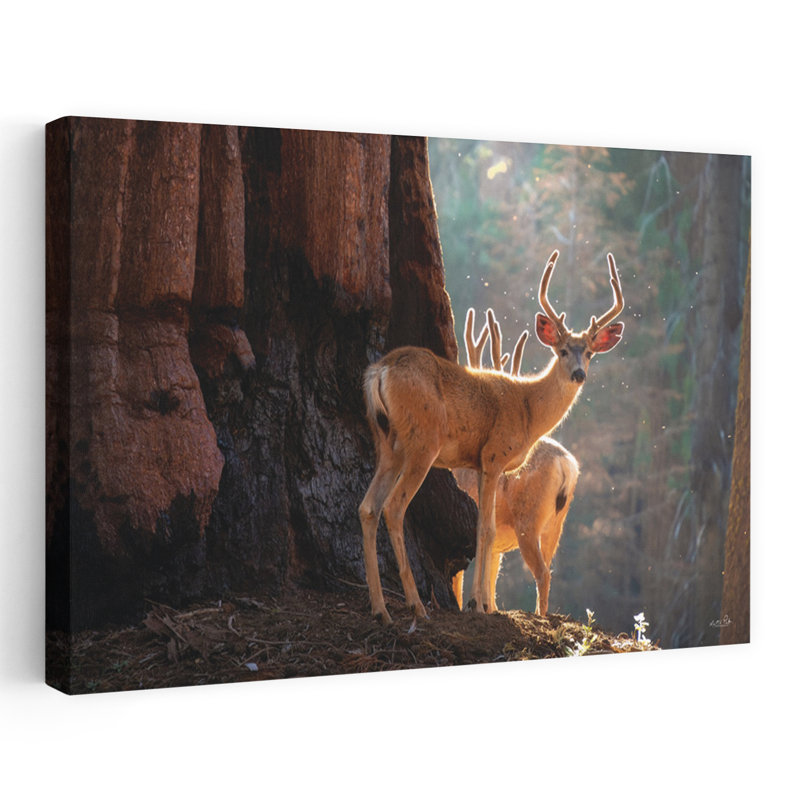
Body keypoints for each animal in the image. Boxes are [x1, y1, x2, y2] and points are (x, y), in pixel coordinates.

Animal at [451, 307, 580, 616]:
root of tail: (566, 465)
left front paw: (471, 605)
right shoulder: (497, 544)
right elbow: (491, 580)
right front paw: (485, 606)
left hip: (528, 520)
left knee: (542, 572)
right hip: (555, 524)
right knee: (549, 567)